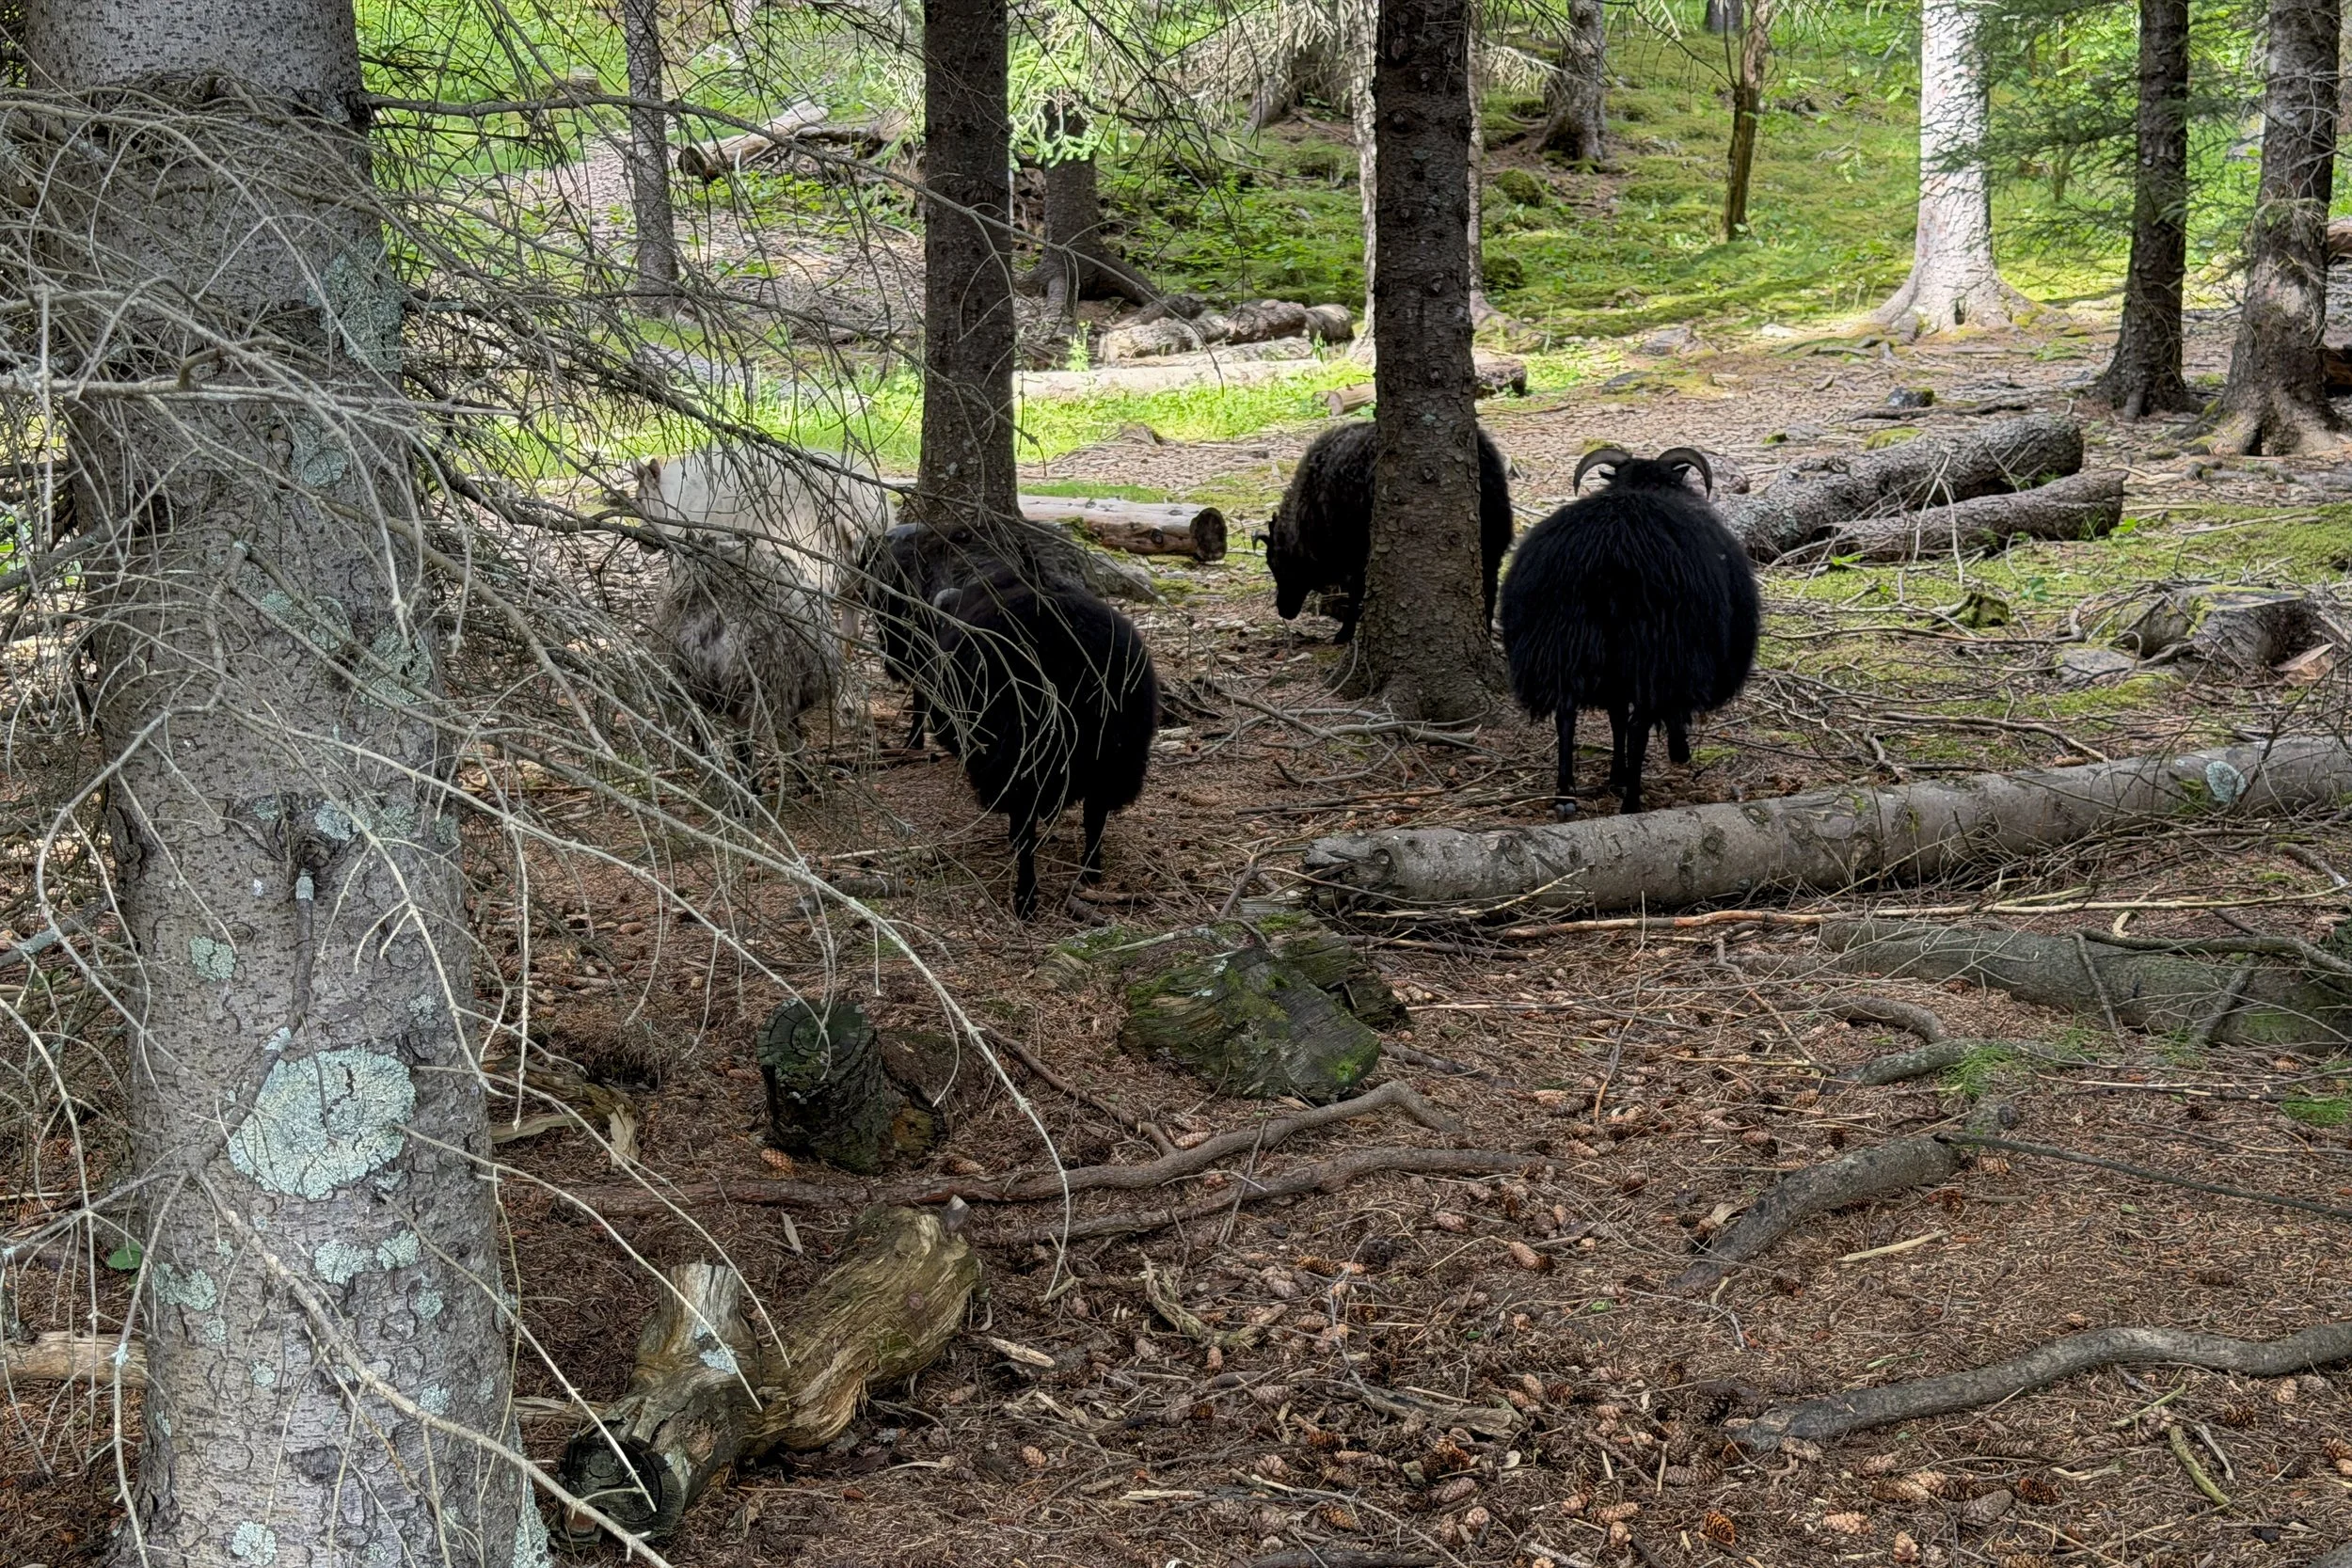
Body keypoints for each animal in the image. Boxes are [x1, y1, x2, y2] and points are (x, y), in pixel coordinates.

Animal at [638, 443, 895, 775]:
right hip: (858, 579)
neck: (676, 495)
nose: (644, 543)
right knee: (848, 636)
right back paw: (846, 704)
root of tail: (855, 505)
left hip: (807, 556)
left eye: (639, 500)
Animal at [924, 562, 1159, 918]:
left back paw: (1026, 900)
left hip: (1023, 757)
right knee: (1095, 816)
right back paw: (1090, 871)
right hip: (1115, 758)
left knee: (1027, 832)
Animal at [1267, 421, 1515, 642]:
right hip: (1493, 540)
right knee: (1490, 585)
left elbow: (1356, 591)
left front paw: (1345, 633)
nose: (1283, 610)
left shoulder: (1356, 554)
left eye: (1279, 565)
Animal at [1498, 445, 1759, 818]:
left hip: (1564, 643)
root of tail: (1608, 552)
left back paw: (1565, 796)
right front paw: (1673, 753)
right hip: (1653, 652)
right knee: (1639, 725)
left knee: (1566, 714)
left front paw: (1616, 776)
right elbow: (1648, 717)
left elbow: (1616, 717)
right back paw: (1631, 803)